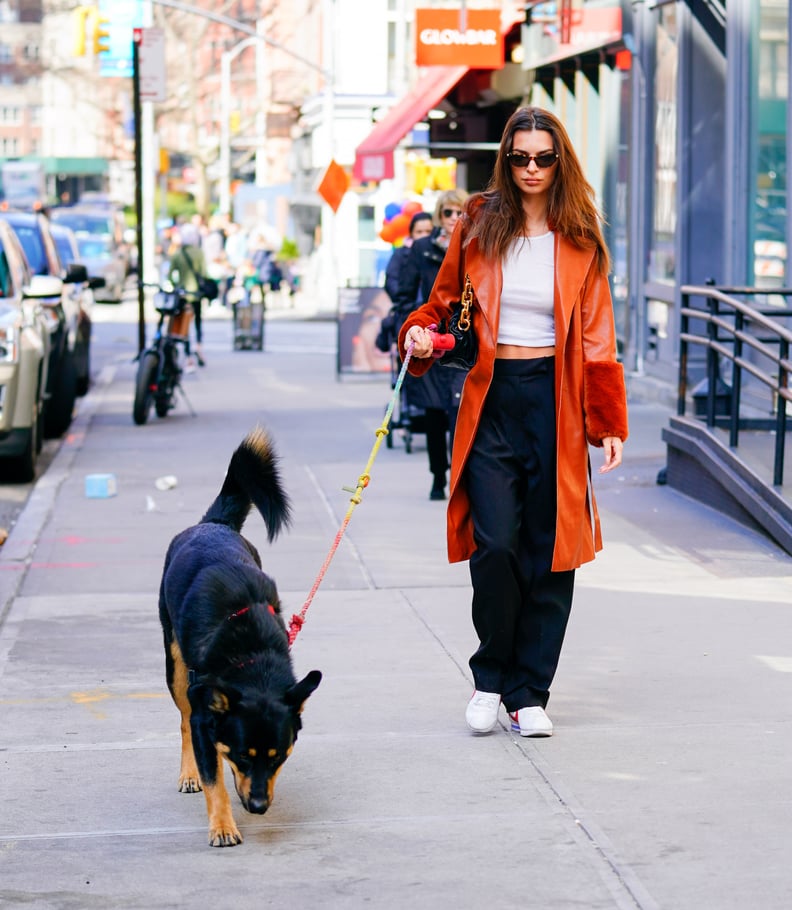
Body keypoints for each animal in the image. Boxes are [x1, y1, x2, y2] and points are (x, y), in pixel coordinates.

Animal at [159, 428, 320, 848]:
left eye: (279, 757)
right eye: (244, 756)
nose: (261, 807)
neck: (252, 656)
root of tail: (214, 523)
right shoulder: (204, 713)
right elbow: (214, 778)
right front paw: (222, 826)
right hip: (175, 666)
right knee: (183, 722)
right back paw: (189, 774)